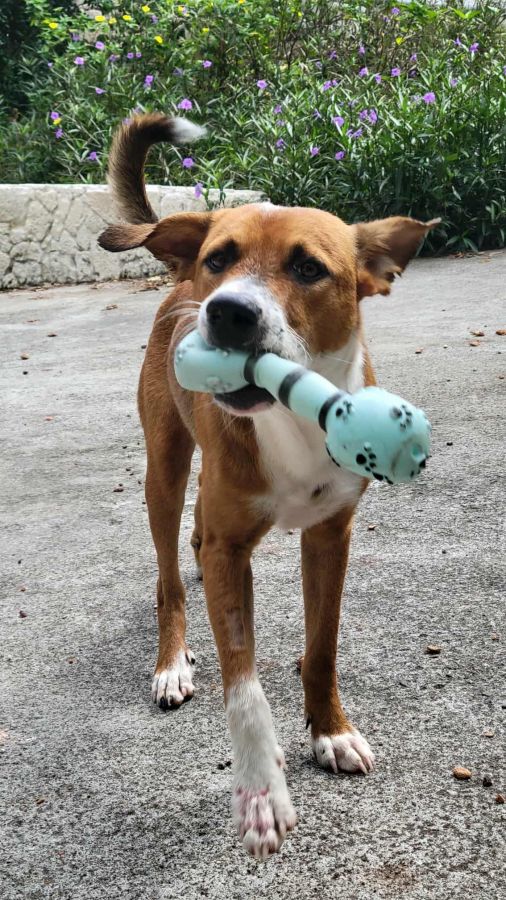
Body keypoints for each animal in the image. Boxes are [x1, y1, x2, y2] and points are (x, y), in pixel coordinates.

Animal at [98, 114, 438, 860]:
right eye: (221, 258)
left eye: (309, 267)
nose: (227, 312)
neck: (292, 418)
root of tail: (174, 276)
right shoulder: (231, 549)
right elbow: (244, 686)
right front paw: (260, 794)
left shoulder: (331, 534)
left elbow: (323, 647)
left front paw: (331, 731)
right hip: (163, 470)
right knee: (169, 575)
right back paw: (172, 660)